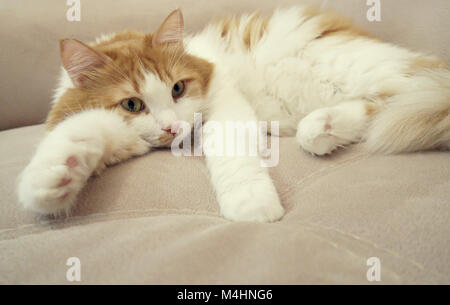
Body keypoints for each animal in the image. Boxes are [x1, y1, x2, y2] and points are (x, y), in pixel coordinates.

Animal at [16, 7, 450, 221]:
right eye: (133, 104)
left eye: (178, 88)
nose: (172, 127)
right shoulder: (111, 128)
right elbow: (73, 136)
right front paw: (51, 182)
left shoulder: (225, 105)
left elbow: (231, 159)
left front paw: (251, 206)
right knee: (372, 109)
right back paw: (320, 129)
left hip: (364, 71)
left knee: (396, 100)